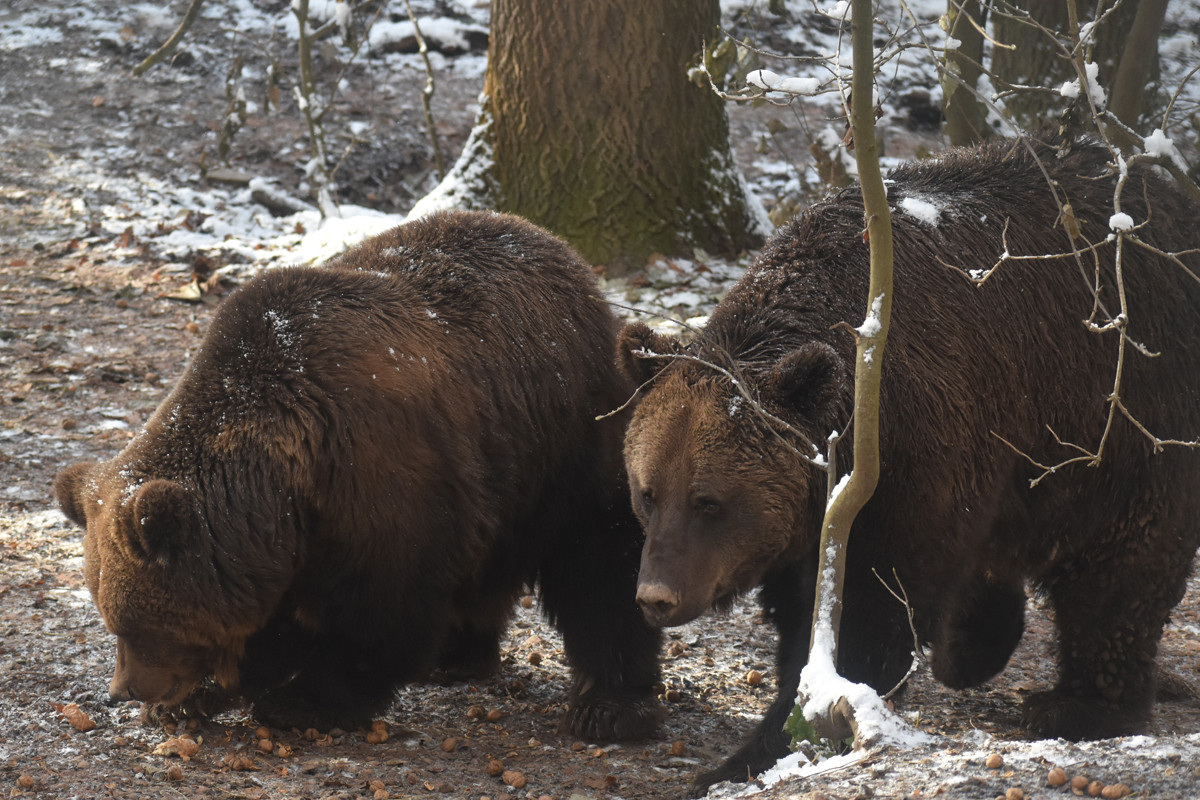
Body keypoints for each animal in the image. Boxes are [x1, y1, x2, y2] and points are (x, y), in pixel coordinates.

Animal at [54, 209, 667, 743]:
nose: (125, 690)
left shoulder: (380, 479)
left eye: (134, 623)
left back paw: (609, 705)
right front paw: (198, 695)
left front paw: (302, 701)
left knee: (598, 564)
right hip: (501, 464)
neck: (283, 477)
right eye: (112, 618)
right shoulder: (292, 538)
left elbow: (378, 613)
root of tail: (566, 256)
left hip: (568, 444)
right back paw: (458, 654)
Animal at [619, 137, 1200, 796]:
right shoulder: (820, 518)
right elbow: (808, 614)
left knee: (1120, 564)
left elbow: (863, 620)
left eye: (709, 501)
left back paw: (1078, 705)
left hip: (1122, 408)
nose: (656, 596)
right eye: (647, 492)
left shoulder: (910, 459)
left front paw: (755, 753)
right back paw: (973, 646)